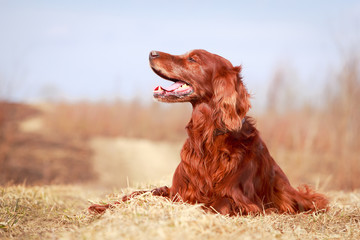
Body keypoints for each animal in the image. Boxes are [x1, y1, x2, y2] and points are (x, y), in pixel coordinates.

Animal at [88, 49, 328, 215]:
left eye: (193, 59)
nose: (151, 53)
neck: (206, 135)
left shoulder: (242, 201)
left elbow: (217, 203)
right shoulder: (176, 190)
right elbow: (139, 193)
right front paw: (102, 206)